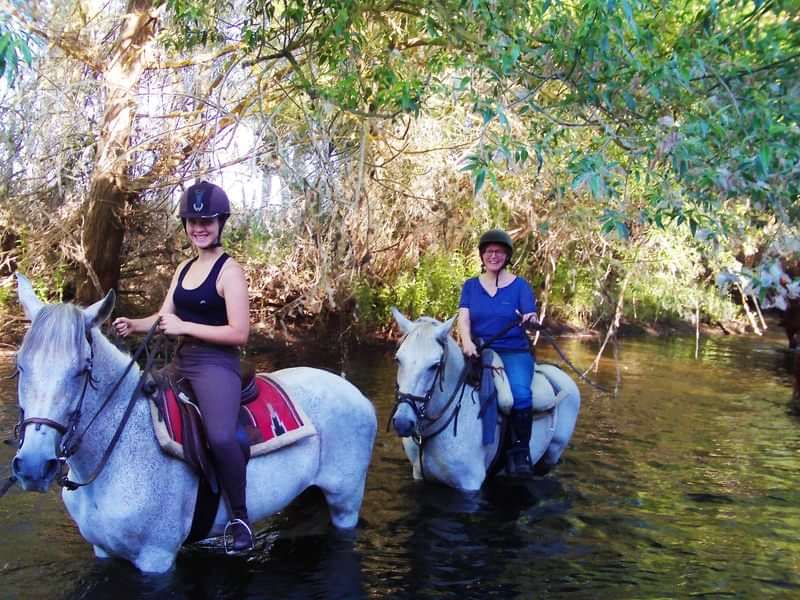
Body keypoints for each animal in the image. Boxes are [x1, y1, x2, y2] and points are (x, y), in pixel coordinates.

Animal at [8, 274, 378, 576]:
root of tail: (352, 391)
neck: (116, 453)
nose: (33, 466)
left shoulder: (156, 557)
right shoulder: (103, 552)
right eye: (21, 367)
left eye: (82, 369)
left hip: (345, 500)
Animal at [390, 310, 580, 492]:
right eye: (398, 359)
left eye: (434, 366)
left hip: (554, 450)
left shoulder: (469, 483)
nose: (402, 422)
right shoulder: (418, 475)